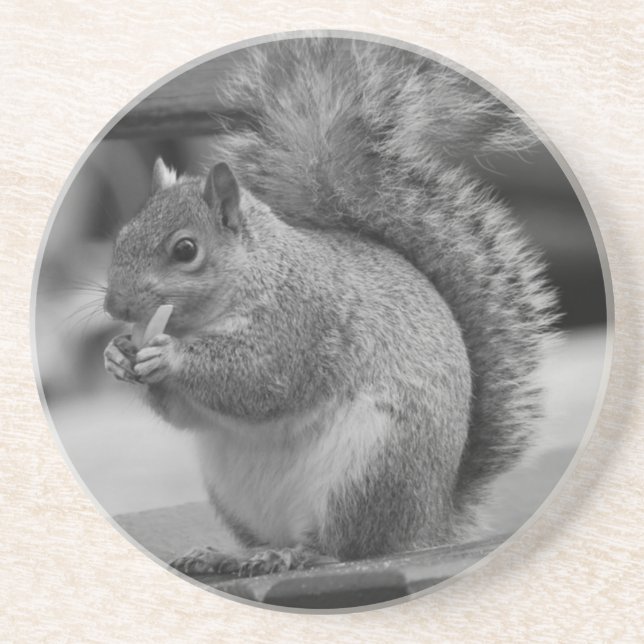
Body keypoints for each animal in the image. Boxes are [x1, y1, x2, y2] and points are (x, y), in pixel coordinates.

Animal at [103, 38, 557, 577]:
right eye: (122, 236)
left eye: (185, 250)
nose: (113, 305)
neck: (259, 273)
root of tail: (430, 523)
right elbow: (186, 414)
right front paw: (117, 354)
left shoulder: (301, 322)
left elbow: (259, 380)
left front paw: (168, 355)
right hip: (234, 491)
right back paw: (227, 555)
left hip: (369, 469)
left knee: (346, 547)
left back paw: (295, 554)